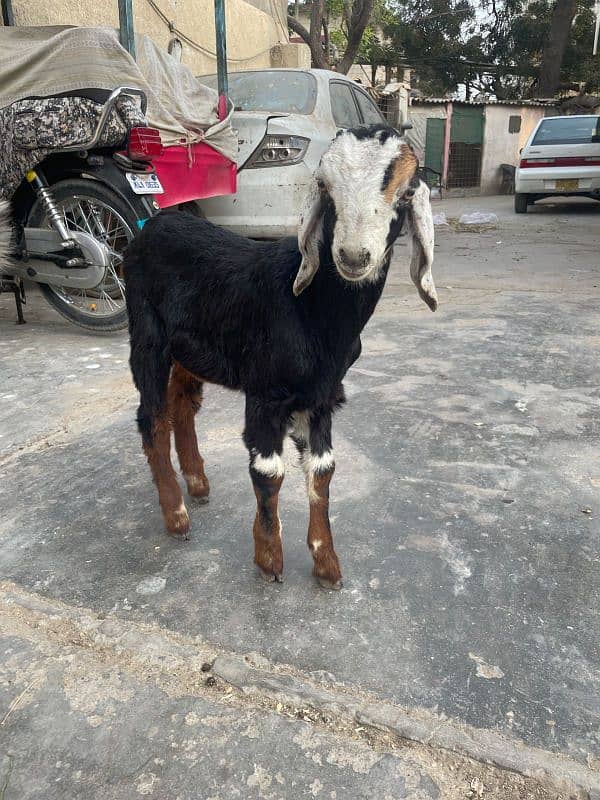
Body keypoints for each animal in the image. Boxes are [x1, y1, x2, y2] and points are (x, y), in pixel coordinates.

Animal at [124, 125, 438, 588]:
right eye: (325, 187)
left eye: (406, 192)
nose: (353, 257)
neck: (312, 311)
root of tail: (153, 224)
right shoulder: (265, 393)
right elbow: (268, 472)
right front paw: (269, 558)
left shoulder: (323, 395)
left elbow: (322, 470)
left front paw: (327, 563)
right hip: (147, 334)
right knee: (152, 416)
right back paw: (176, 515)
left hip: (191, 349)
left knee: (182, 403)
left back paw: (197, 482)